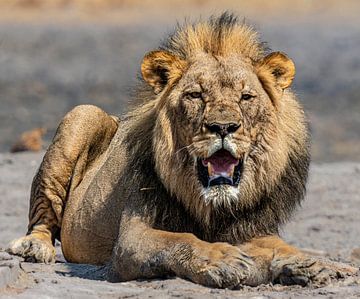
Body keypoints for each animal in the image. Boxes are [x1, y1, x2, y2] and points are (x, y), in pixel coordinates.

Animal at [6, 12, 358, 290]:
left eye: (246, 97)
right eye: (195, 95)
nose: (223, 127)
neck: (211, 206)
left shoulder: (251, 228)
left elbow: (280, 246)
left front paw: (311, 264)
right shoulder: (132, 238)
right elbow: (180, 240)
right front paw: (223, 260)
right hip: (82, 115)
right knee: (43, 214)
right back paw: (34, 247)